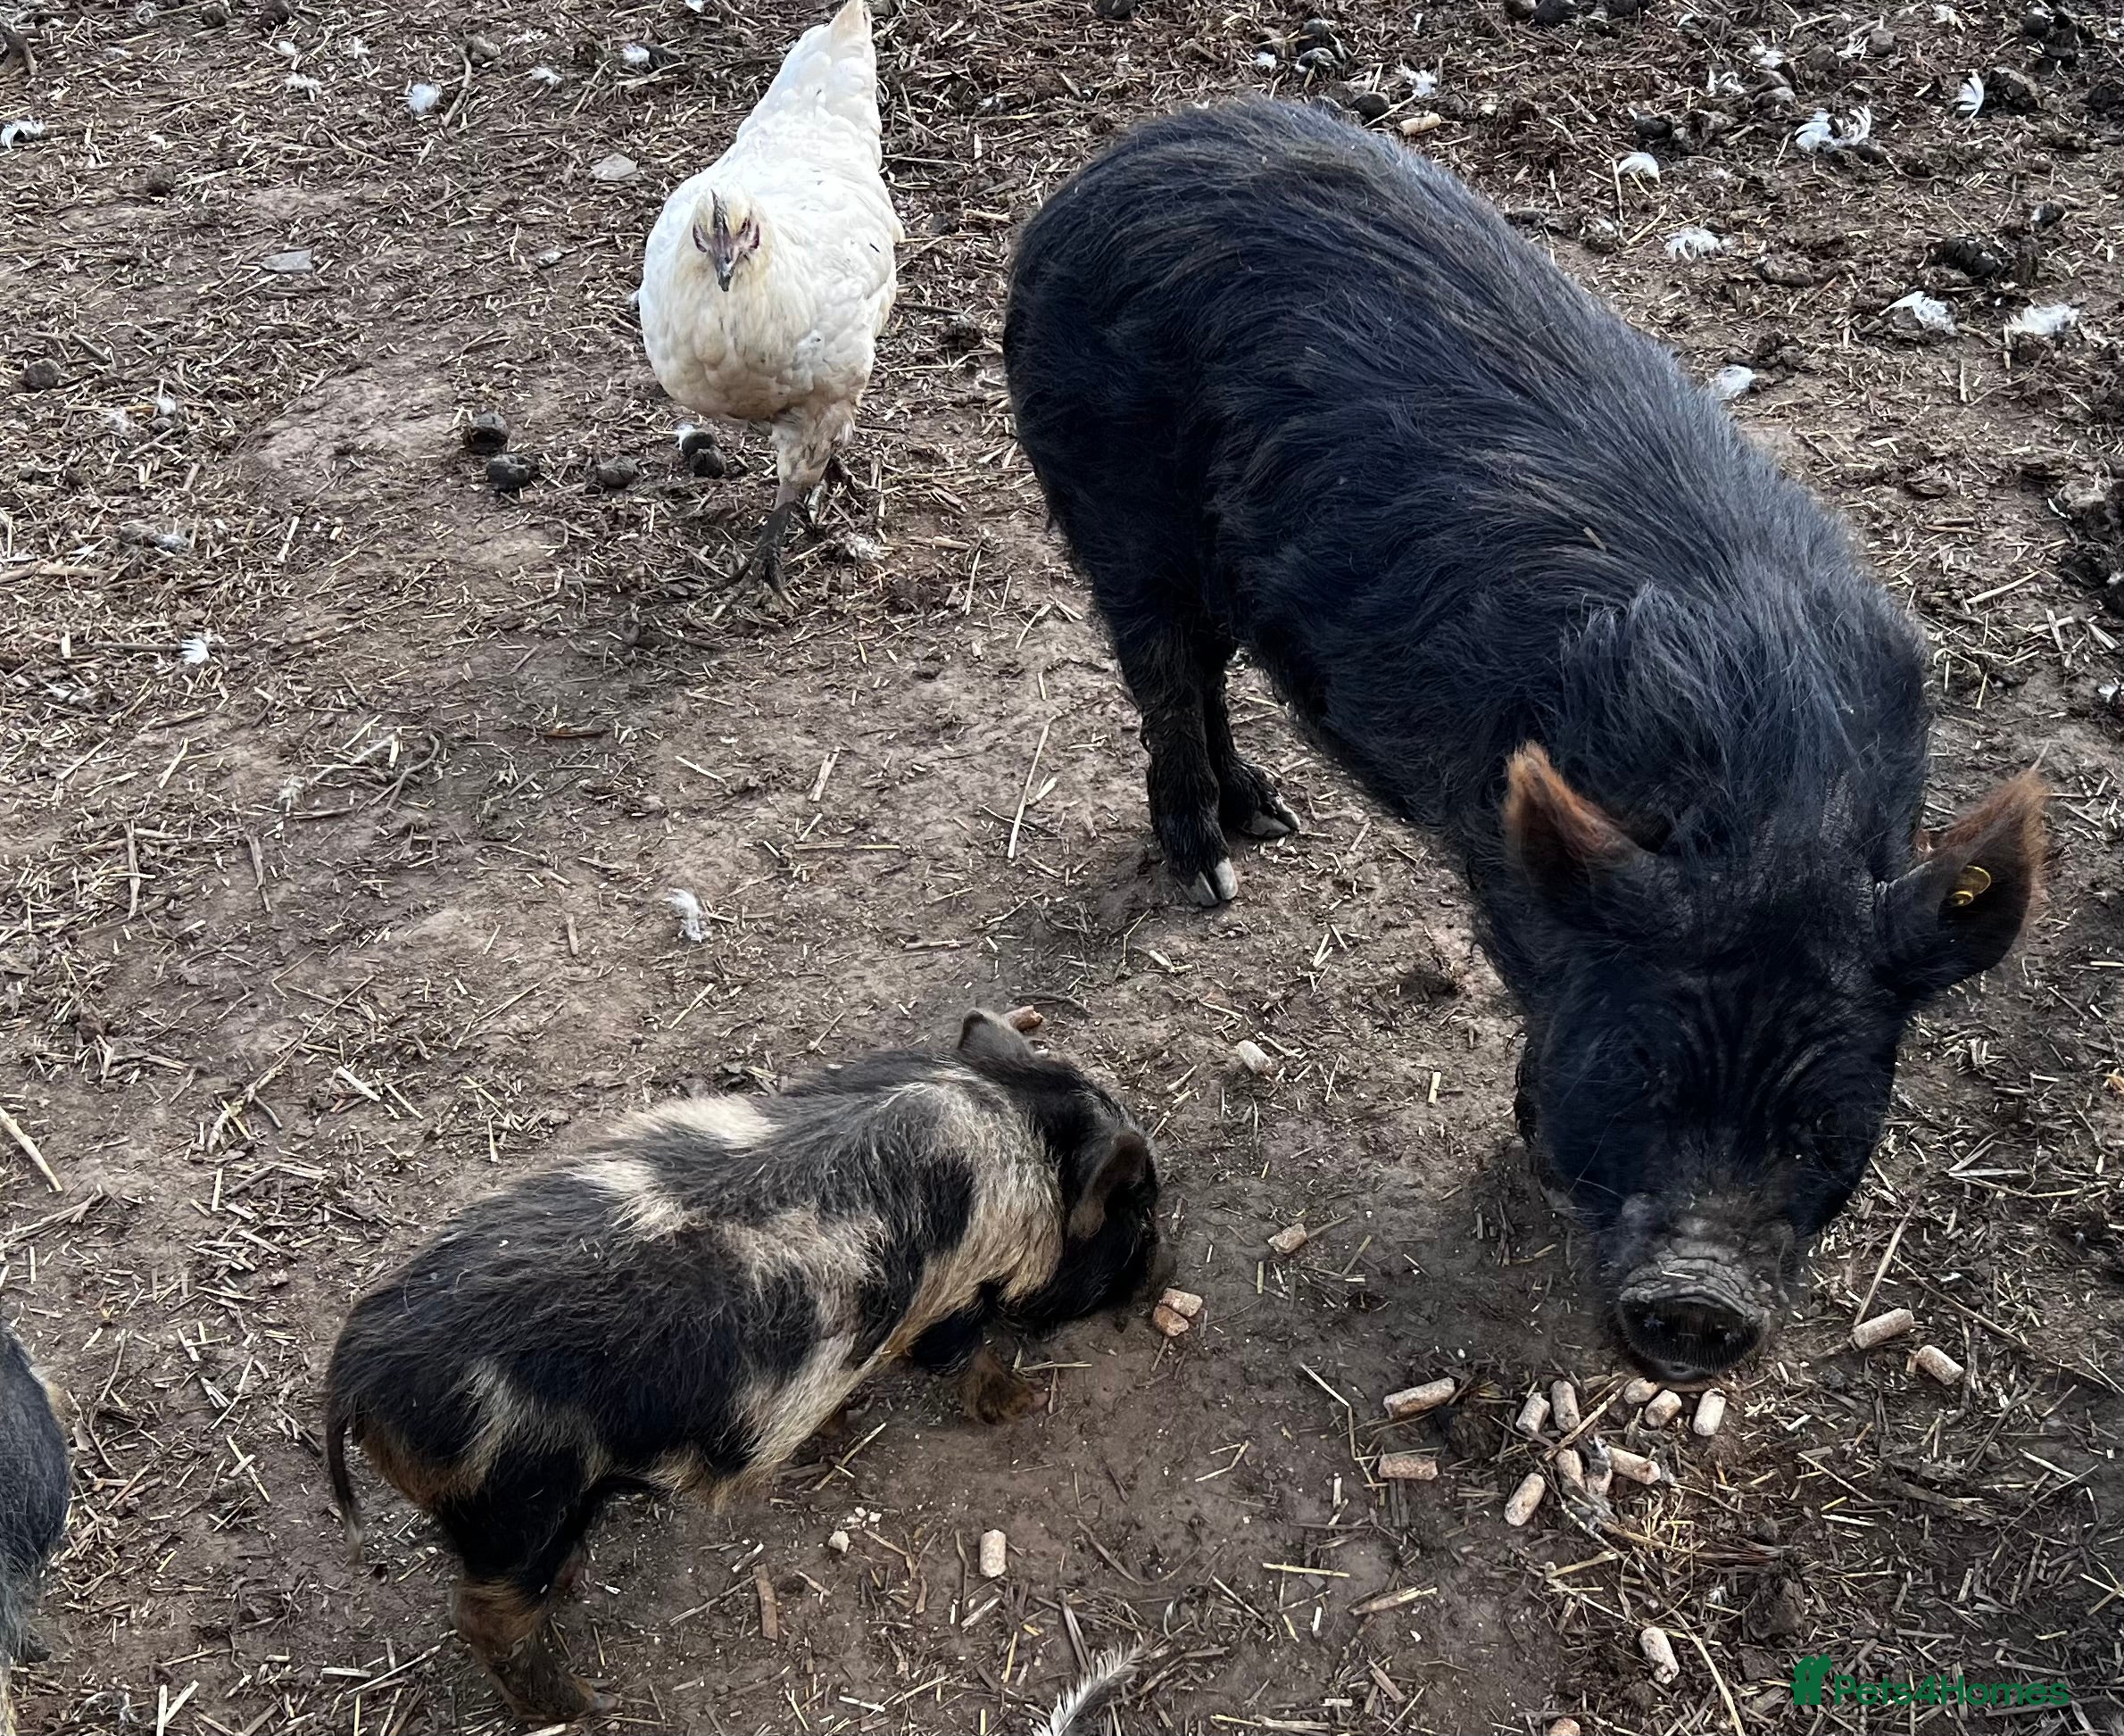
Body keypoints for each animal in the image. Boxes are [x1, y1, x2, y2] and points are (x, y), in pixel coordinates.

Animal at [324, 1011, 1165, 1722]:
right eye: (1140, 1211)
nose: (1164, 1271)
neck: (1010, 1117)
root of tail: (355, 1371)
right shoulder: (951, 1297)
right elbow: (964, 1355)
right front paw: (1021, 1401)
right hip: (515, 1504)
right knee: (481, 1616)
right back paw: (585, 1703)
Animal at [1002, 99, 2045, 1382]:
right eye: (1645, 1072)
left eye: (1823, 1124)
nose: (1697, 1300)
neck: (1773, 808)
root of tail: (1103, 173)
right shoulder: (1512, 863)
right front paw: (1534, 1148)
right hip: (1115, 509)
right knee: (1160, 673)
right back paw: (1213, 871)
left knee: (1203, 671)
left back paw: (1272, 816)